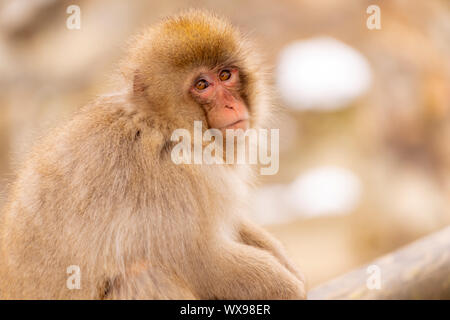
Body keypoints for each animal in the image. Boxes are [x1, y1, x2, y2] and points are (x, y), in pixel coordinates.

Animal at [0, 9, 306, 300]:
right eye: (202, 85)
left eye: (225, 75)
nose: (231, 105)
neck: (162, 124)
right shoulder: (169, 178)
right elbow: (200, 260)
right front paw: (290, 289)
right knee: (143, 275)